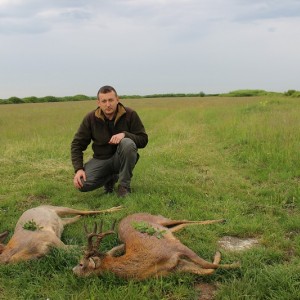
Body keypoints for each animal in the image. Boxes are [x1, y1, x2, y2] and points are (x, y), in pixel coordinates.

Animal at [72, 213, 239, 278]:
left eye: (81, 264)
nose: (72, 270)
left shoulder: (176, 247)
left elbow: (208, 265)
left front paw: (235, 263)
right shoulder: (174, 268)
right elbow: (207, 270)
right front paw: (222, 257)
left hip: (161, 219)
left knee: (183, 219)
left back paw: (222, 219)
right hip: (167, 228)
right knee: (181, 225)